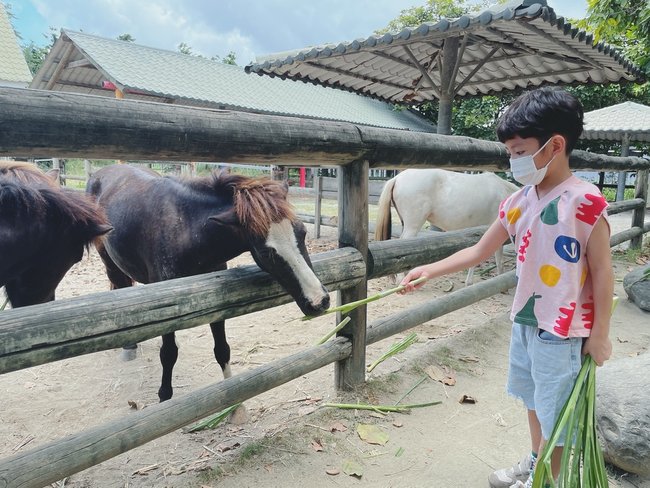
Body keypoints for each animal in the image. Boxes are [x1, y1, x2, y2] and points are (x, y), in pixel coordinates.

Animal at [86, 166, 330, 402]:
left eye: (303, 232)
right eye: (265, 252)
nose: (319, 301)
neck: (186, 230)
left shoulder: (214, 298)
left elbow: (222, 348)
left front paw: (236, 407)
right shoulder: (170, 307)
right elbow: (169, 353)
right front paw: (165, 398)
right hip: (110, 264)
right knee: (121, 287)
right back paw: (129, 347)